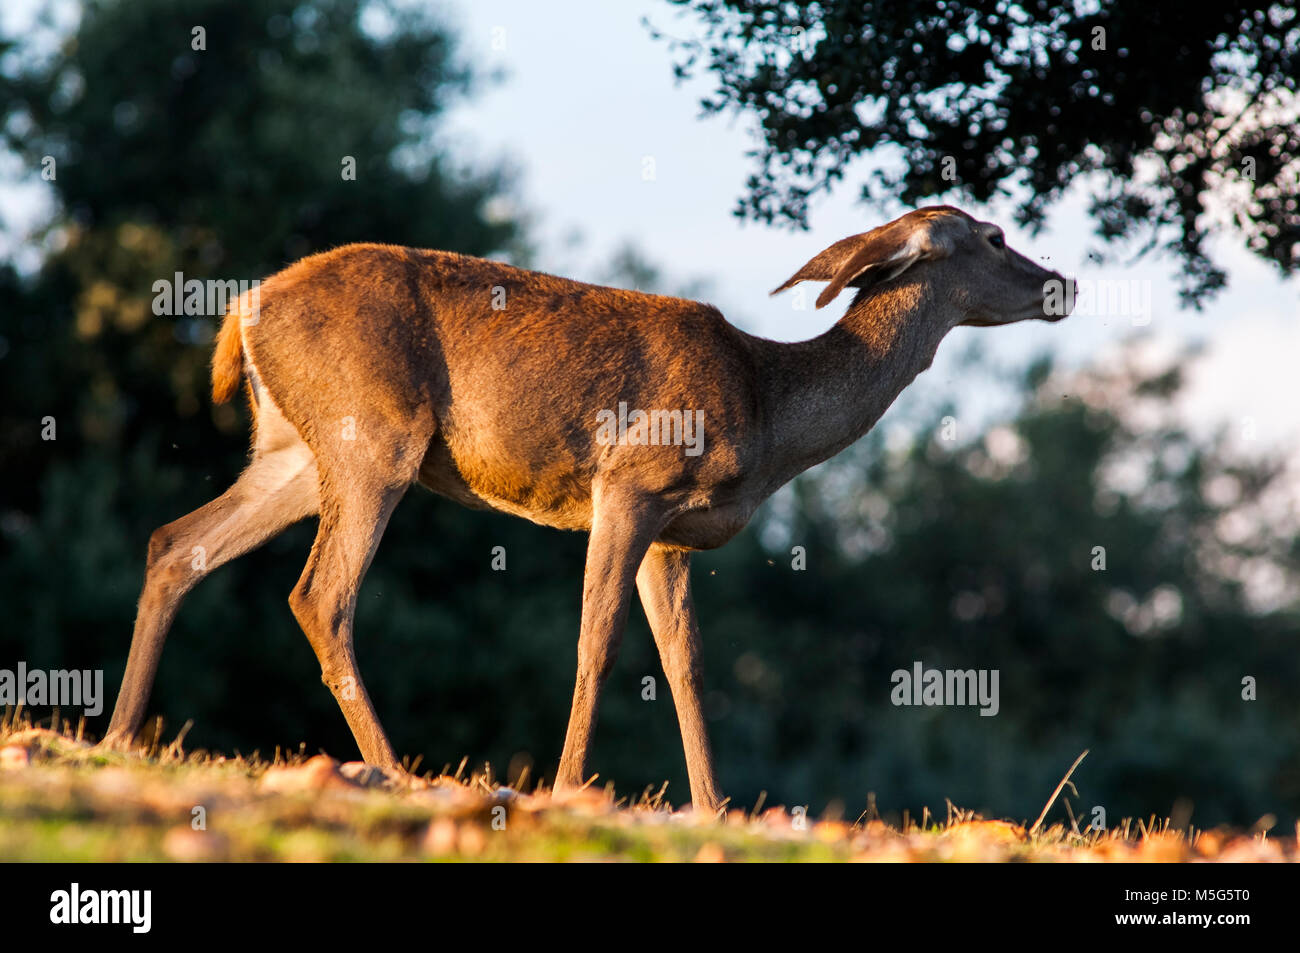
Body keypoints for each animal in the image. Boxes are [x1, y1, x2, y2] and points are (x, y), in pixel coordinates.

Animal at [104, 206, 1076, 811]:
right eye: (995, 234)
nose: (1062, 282)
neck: (771, 408)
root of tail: (243, 309)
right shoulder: (630, 484)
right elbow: (597, 641)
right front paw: (570, 785)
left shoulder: (674, 537)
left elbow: (686, 663)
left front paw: (714, 803)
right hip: (373, 433)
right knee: (320, 594)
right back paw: (391, 769)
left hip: (295, 450)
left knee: (174, 542)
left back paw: (118, 737)